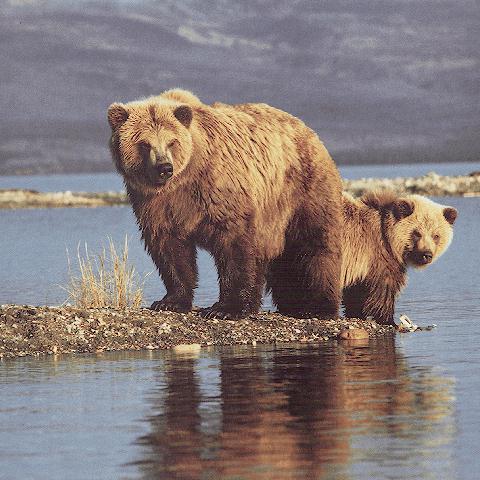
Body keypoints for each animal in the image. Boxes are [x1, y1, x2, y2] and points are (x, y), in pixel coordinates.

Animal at [109, 90, 342, 318]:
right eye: (144, 143)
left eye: (172, 142)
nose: (164, 167)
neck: (184, 180)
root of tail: (308, 130)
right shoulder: (155, 203)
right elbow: (169, 247)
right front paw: (170, 301)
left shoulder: (218, 189)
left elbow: (233, 244)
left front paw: (225, 308)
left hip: (301, 189)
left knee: (314, 244)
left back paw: (317, 306)